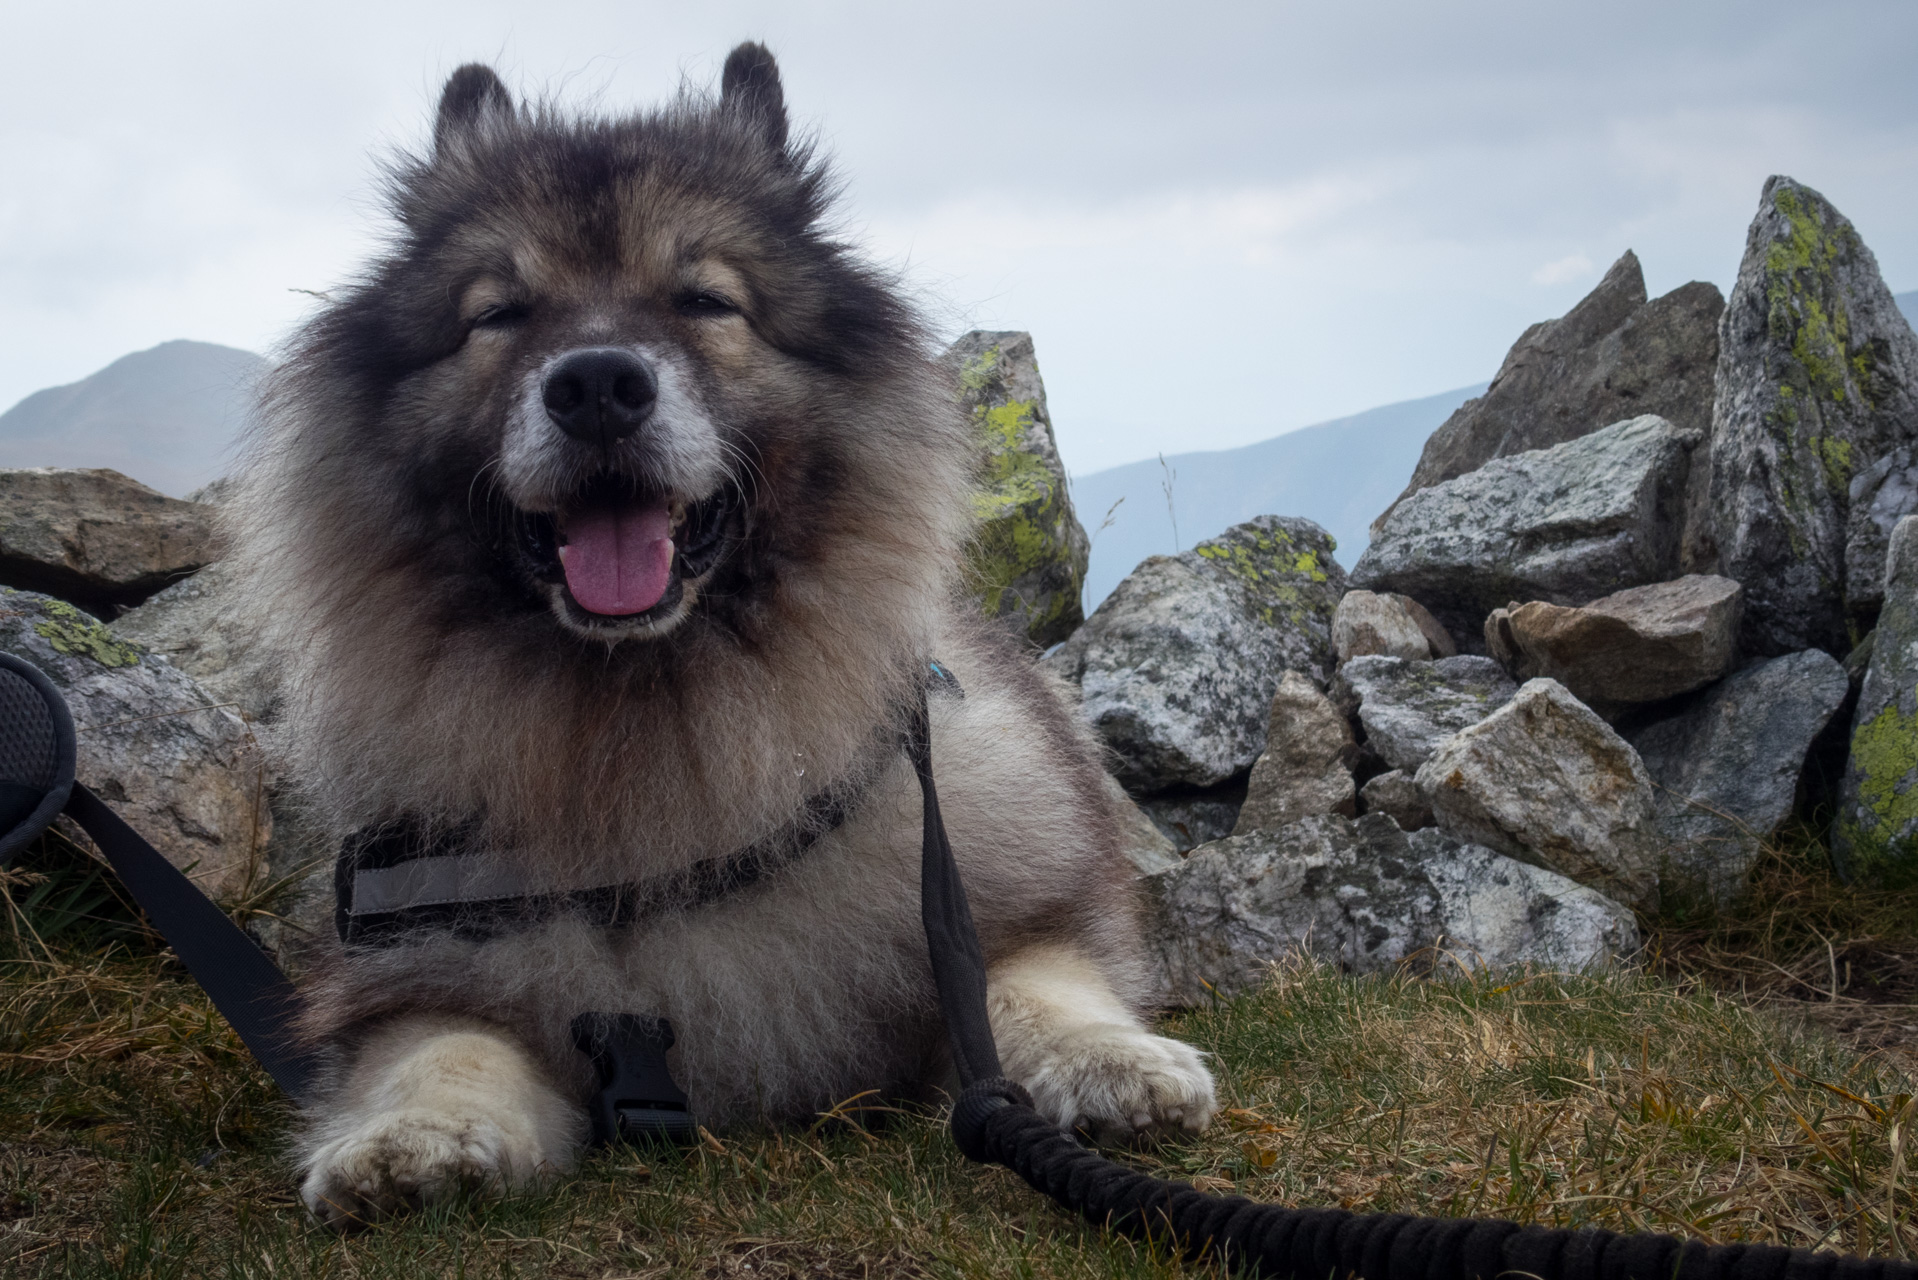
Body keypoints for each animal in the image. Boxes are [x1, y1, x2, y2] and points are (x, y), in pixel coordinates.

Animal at [228, 40, 1212, 1228]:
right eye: (499, 314)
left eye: (704, 300)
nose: (597, 384)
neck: (650, 739)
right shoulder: (411, 974)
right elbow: (441, 1046)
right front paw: (409, 1138)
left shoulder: (1003, 908)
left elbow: (1032, 982)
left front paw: (1114, 1063)